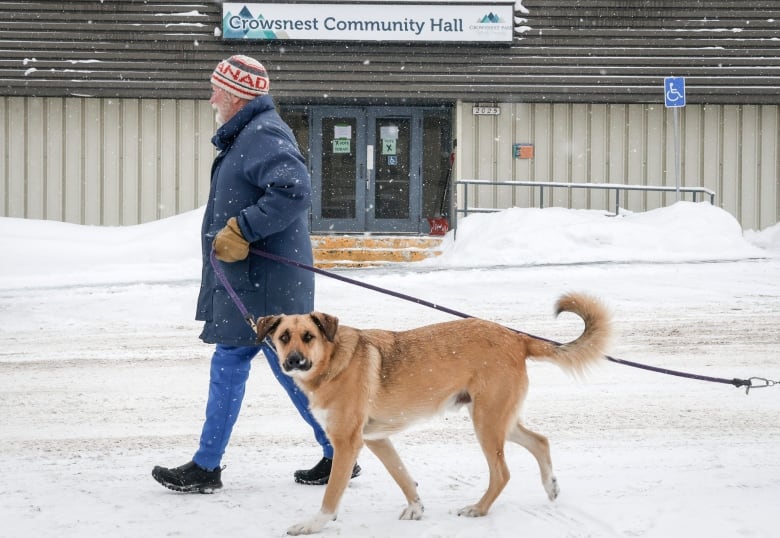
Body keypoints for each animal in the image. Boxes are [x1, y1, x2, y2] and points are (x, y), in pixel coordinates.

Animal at [258, 292, 612, 532]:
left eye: (308, 337)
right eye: (283, 337)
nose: (292, 361)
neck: (331, 361)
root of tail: (516, 337)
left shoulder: (347, 443)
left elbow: (332, 494)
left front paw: (313, 524)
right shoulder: (376, 439)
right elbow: (402, 476)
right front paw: (416, 508)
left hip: (487, 422)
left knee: (502, 472)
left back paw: (478, 509)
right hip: (500, 419)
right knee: (540, 441)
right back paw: (550, 486)